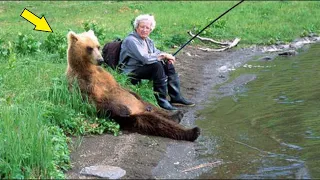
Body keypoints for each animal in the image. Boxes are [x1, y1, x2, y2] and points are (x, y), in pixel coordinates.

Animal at [65, 30, 200, 141]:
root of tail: (141, 110)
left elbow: (121, 88)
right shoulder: (83, 83)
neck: (88, 69)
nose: (100, 60)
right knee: (154, 123)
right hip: (134, 118)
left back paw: (176, 114)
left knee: (153, 107)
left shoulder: (106, 77)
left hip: (142, 104)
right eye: (89, 48)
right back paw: (193, 131)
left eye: (98, 46)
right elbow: (95, 102)